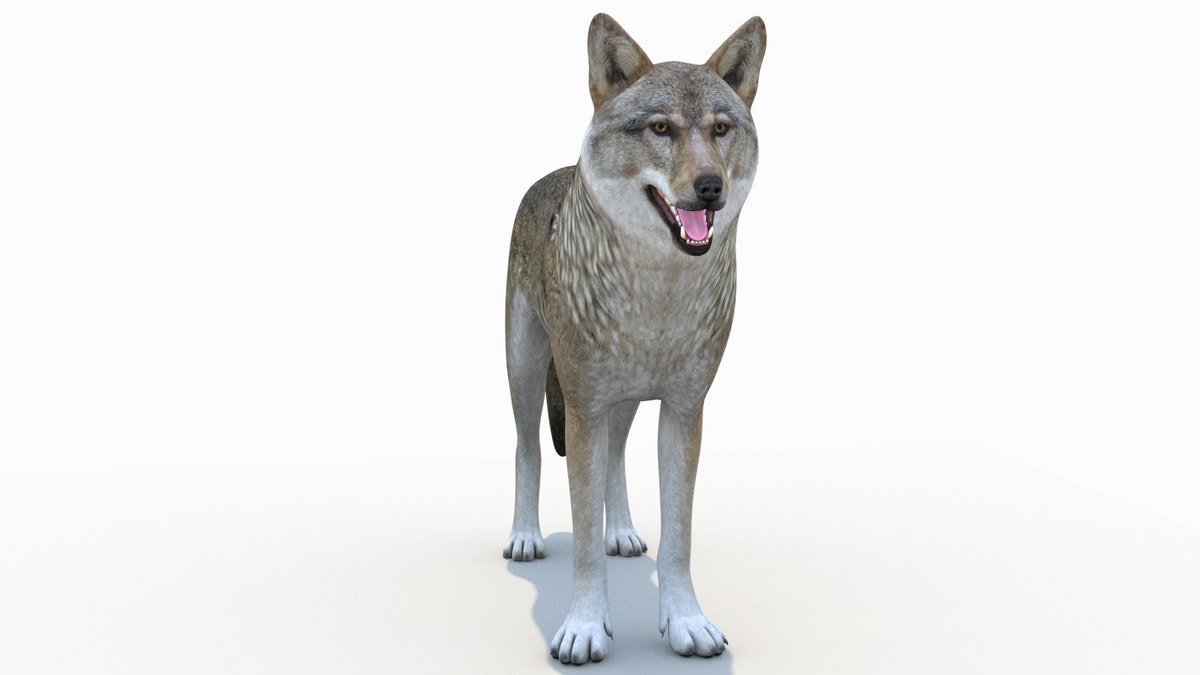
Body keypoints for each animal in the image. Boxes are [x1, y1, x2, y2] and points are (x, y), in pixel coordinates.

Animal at [502, 13, 766, 664]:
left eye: (720, 129)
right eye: (661, 128)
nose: (710, 186)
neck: (658, 295)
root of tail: (552, 175)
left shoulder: (684, 409)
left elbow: (679, 536)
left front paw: (687, 623)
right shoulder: (584, 405)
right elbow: (582, 539)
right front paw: (583, 629)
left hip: (620, 402)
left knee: (617, 458)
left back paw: (621, 531)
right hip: (527, 370)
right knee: (527, 448)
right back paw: (524, 537)